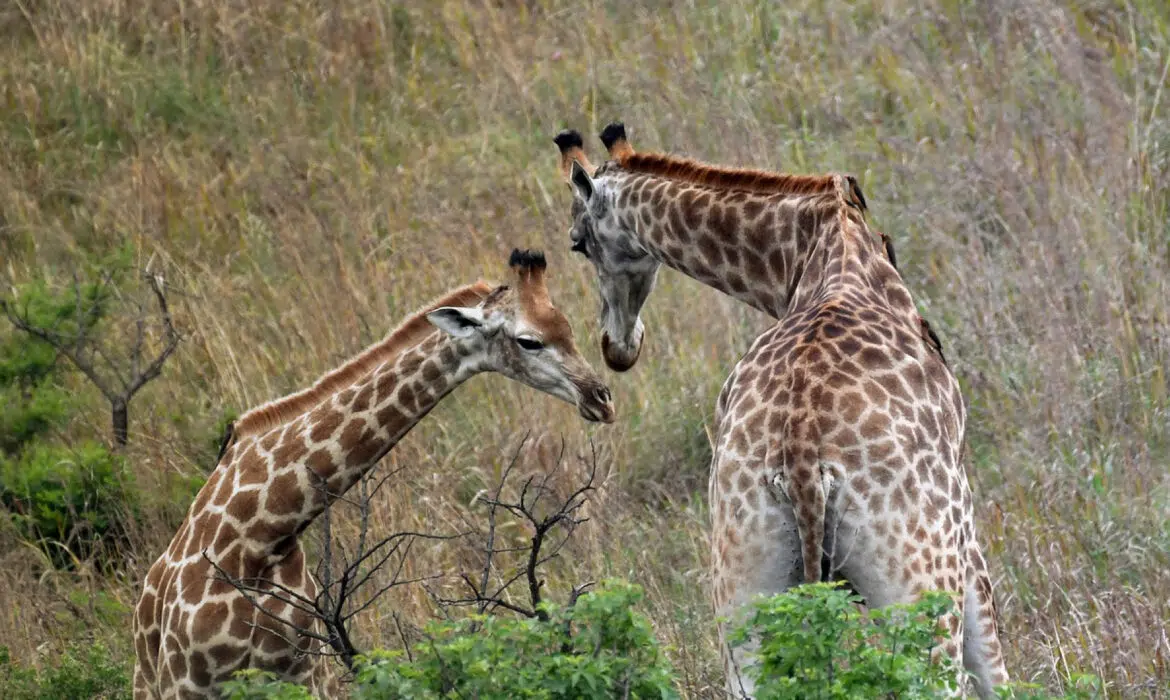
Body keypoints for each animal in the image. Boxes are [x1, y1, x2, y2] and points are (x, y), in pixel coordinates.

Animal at [132, 249, 617, 697]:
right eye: (529, 341)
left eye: (569, 329)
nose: (602, 399)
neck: (260, 536)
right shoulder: (187, 683)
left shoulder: (306, 674)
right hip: (147, 683)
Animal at [554, 127, 1006, 700]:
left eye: (577, 241)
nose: (616, 347)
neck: (807, 250)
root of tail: (803, 456)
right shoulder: (969, 548)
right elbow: (997, 672)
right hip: (919, 587)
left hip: (742, 591)